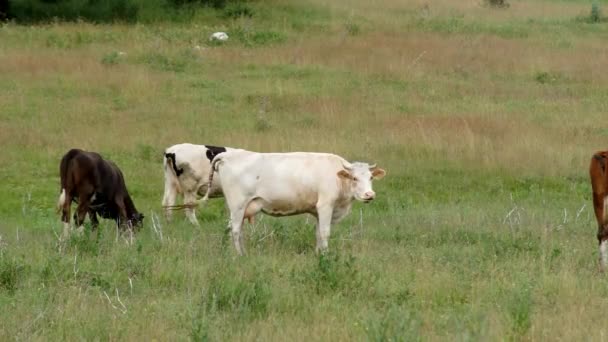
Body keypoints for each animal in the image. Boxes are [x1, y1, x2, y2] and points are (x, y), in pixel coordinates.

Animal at [202, 151, 388, 255]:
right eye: (354, 178)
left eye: (370, 178)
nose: (369, 194)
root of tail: (229, 155)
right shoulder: (325, 205)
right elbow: (325, 233)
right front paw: (326, 255)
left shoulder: (317, 211)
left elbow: (318, 233)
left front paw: (318, 254)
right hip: (238, 206)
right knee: (235, 231)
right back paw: (240, 255)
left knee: (237, 231)